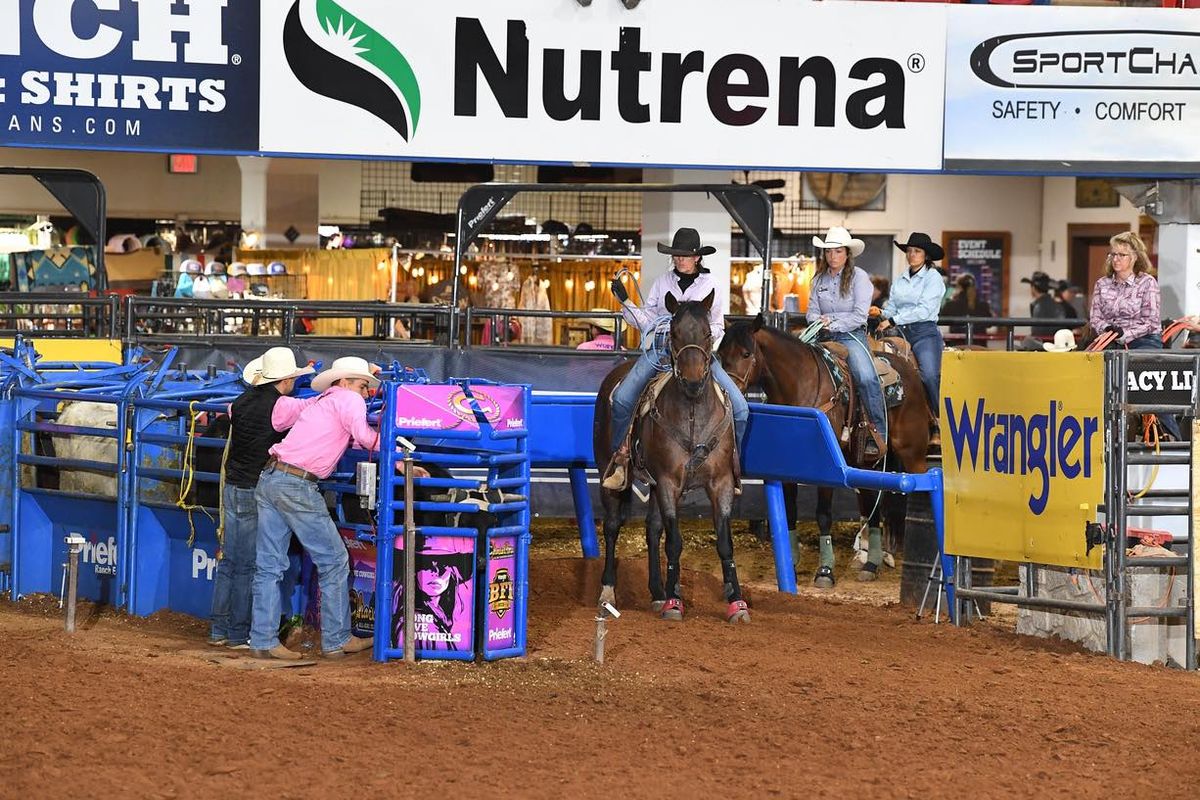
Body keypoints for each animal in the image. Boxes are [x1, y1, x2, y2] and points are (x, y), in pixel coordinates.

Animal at [592, 291, 748, 623]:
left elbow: (724, 543)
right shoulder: (668, 482)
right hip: (608, 474)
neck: (692, 414)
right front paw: (675, 602)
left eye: (708, 333)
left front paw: (737, 603)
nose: (692, 382)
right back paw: (608, 592)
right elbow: (675, 542)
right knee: (612, 527)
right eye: (674, 333)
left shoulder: (720, 483)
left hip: (652, 484)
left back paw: (656, 592)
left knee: (652, 530)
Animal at [715, 314, 931, 587]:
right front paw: (792, 563)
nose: (728, 392)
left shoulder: (827, 468)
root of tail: (909, 369)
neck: (800, 384)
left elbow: (823, 515)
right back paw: (871, 564)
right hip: (861, 461)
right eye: (721, 354)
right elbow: (791, 512)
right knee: (872, 502)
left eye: (746, 353)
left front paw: (825, 570)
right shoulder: (788, 465)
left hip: (912, 451)